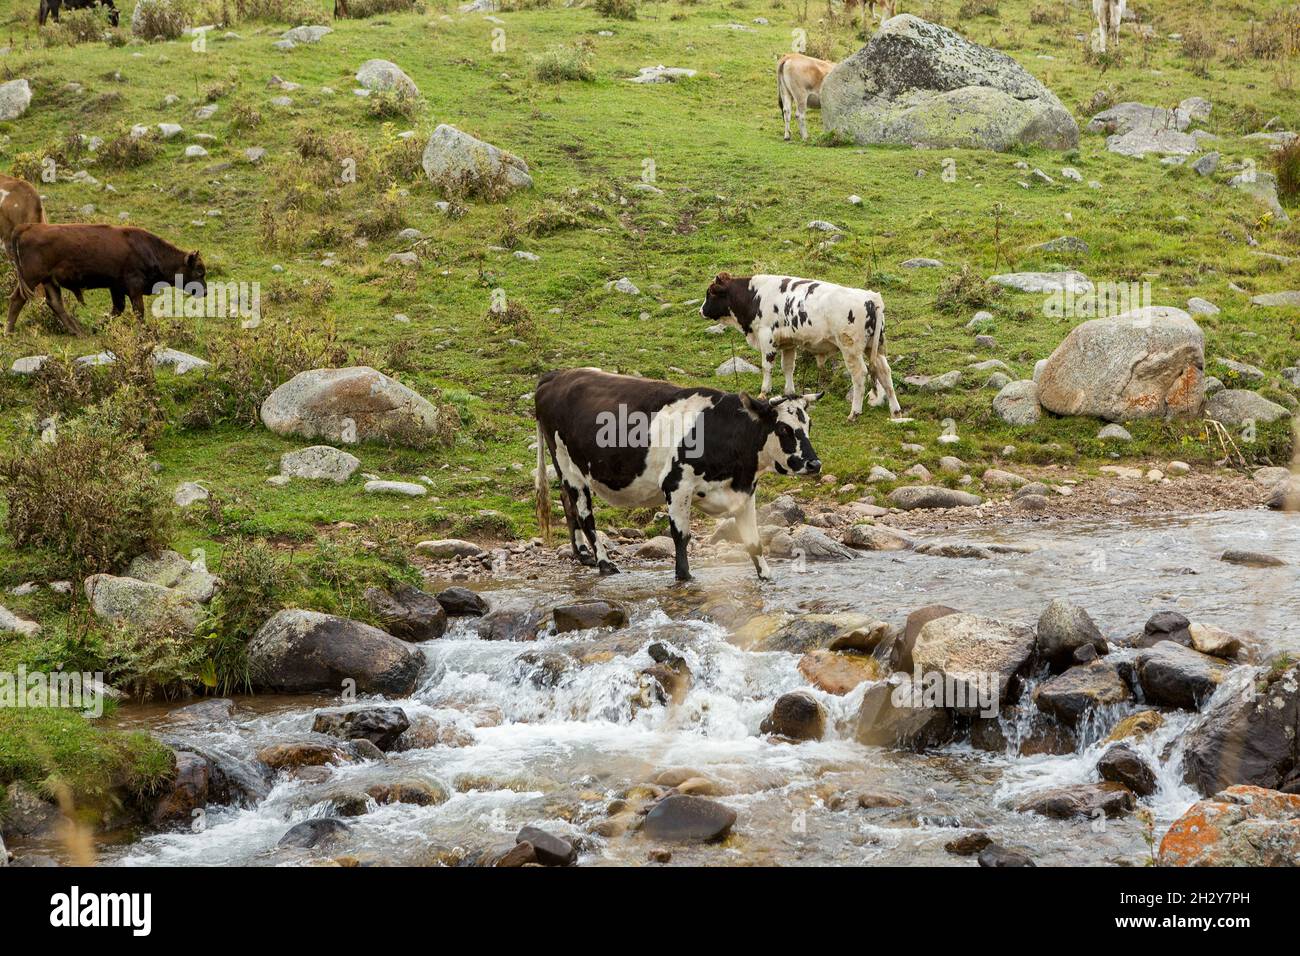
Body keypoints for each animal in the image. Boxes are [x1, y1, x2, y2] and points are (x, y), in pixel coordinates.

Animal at [7, 223, 206, 336]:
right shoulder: (134, 287)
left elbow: (117, 309)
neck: (150, 249)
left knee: (55, 303)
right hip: (32, 278)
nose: (204, 291)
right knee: (18, 299)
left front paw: (96, 327)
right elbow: (138, 311)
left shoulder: (117, 288)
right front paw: (145, 333)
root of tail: (28, 227)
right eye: (199, 272)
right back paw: (9, 331)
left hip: (49, 280)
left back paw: (78, 332)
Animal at [534, 368, 822, 583]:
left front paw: (766, 576)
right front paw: (684, 576)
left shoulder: (744, 493)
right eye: (784, 429)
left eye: (808, 424)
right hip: (569, 465)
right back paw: (605, 563)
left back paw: (582, 554)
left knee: (567, 504)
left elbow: (753, 542)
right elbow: (681, 537)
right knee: (585, 516)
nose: (814, 464)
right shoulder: (676, 485)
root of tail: (556, 376)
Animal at [700, 273, 903, 421]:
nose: (701, 310)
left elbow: (767, 367)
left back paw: (854, 412)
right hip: (875, 347)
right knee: (885, 373)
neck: (755, 296)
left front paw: (764, 392)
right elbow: (788, 367)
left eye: (710, 293)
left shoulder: (767, 338)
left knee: (860, 375)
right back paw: (895, 411)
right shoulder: (788, 343)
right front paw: (789, 392)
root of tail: (871, 297)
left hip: (850, 348)